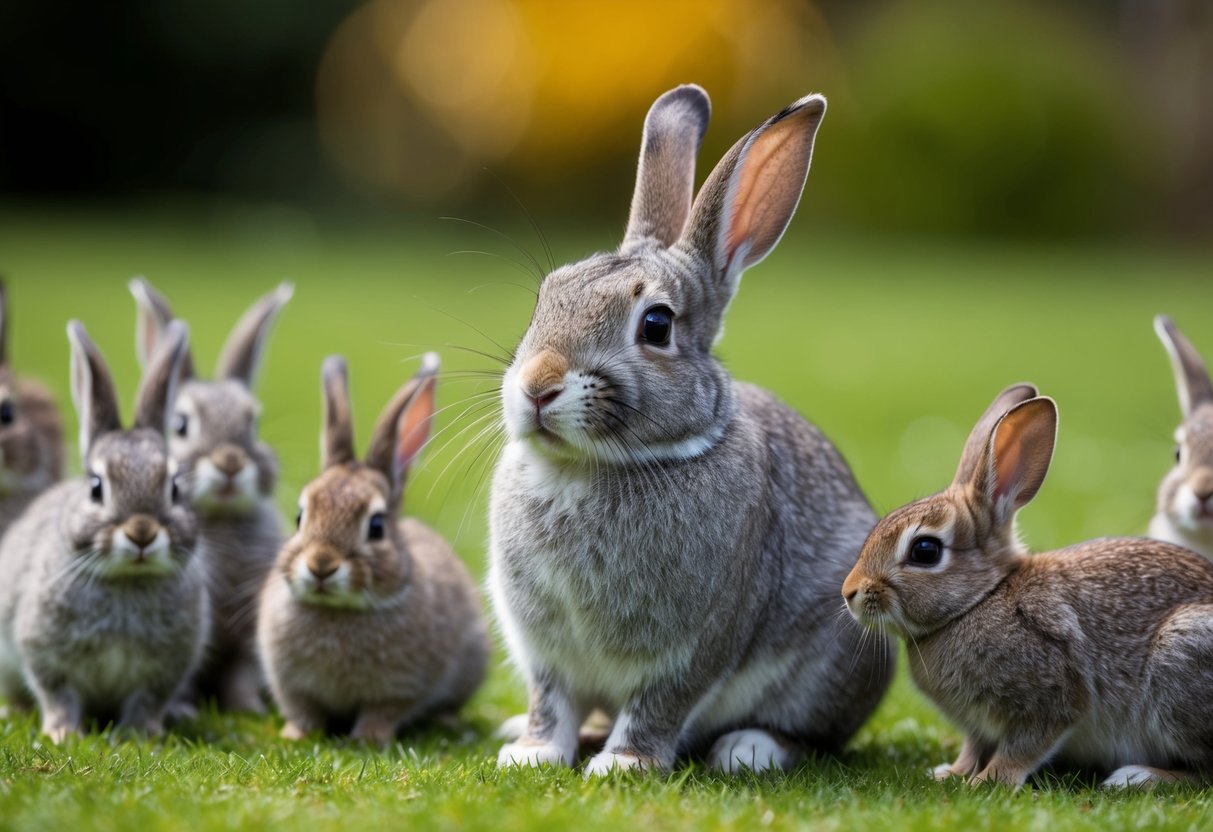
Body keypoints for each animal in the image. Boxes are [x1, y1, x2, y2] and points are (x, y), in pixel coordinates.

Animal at [0, 320, 207, 742]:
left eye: (175, 487)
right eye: (96, 487)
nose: (142, 532)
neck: (126, 579)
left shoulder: (164, 671)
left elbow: (147, 701)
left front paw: (142, 735)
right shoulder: (45, 655)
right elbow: (58, 695)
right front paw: (62, 734)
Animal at [129, 277, 292, 713]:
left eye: (253, 424)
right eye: (181, 424)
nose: (230, 462)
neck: (221, 517)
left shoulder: (245, 631)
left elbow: (240, 674)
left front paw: (247, 708)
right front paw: (181, 709)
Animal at [257, 354, 488, 747]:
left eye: (377, 526)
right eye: (300, 516)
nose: (321, 565)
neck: (339, 612)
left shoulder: (400, 689)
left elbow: (381, 712)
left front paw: (368, 739)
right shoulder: (290, 685)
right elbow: (303, 711)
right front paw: (296, 735)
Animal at [490, 84, 892, 776]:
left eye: (656, 325)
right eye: (545, 297)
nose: (537, 386)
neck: (593, 466)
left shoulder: (695, 646)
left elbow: (659, 703)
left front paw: (624, 765)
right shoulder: (545, 651)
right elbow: (551, 699)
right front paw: (532, 754)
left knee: (814, 734)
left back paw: (749, 749)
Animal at [843, 384, 1213, 788]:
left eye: (925, 550)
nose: (850, 593)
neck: (980, 599)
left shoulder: (1052, 696)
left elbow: (1023, 746)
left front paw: (988, 781)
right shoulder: (978, 725)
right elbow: (973, 746)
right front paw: (952, 773)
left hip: (1179, 656)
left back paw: (1137, 776)